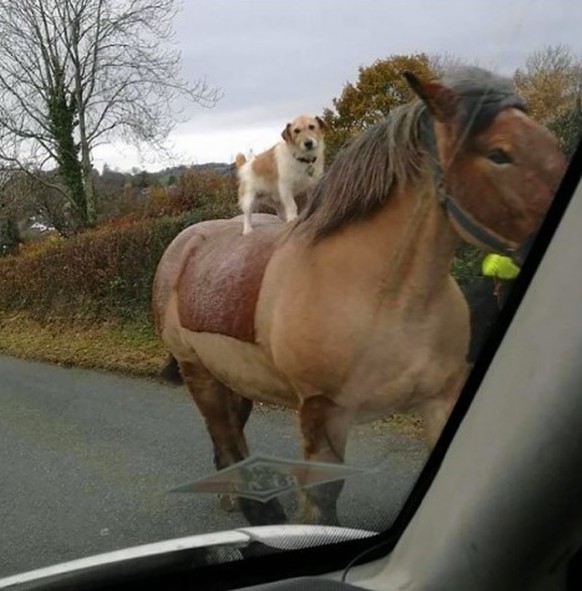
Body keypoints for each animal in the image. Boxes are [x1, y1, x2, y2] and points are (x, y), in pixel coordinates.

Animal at [153, 68, 568, 528]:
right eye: (499, 154)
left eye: (547, 139)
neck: (381, 295)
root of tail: (185, 242)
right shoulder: (323, 410)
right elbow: (321, 499)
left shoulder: (441, 397)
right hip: (199, 374)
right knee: (227, 440)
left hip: (231, 379)